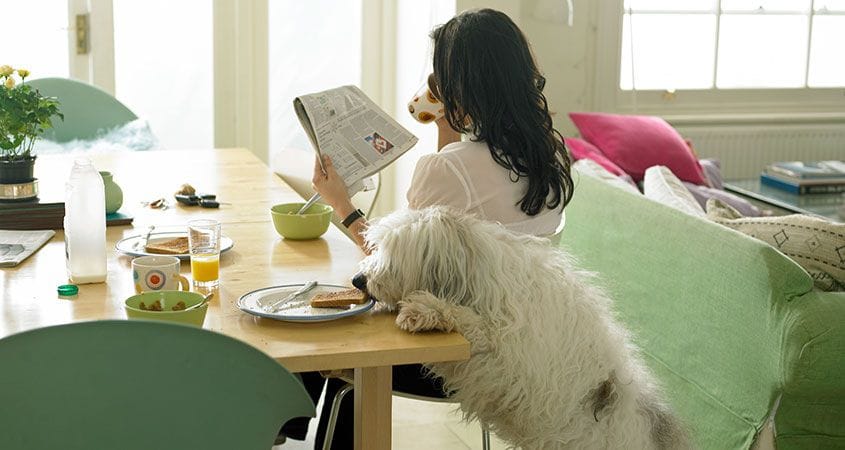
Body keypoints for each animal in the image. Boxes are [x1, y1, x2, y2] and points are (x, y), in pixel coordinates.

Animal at [352, 207, 688, 450]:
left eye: (392, 257)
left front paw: (426, 310)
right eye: (375, 247)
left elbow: (475, 329)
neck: (474, 273)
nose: (358, 280)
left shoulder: (505, 354)